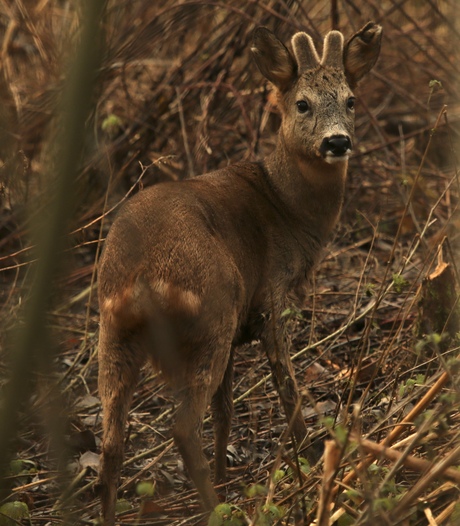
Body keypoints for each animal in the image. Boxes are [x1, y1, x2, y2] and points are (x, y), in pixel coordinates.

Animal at [97, 23, 380, 524]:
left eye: (350, 100)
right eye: (302, 103)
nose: (337, 142)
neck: (287, 207)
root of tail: (141, 282)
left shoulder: (236, 334)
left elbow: (226, 410)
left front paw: (226, 473)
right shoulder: (269, 296)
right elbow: (286, 385)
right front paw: (309, 453)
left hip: (115, 335)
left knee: (111, 443)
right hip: (213, 312)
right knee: (182, 427)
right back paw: (215, 508)